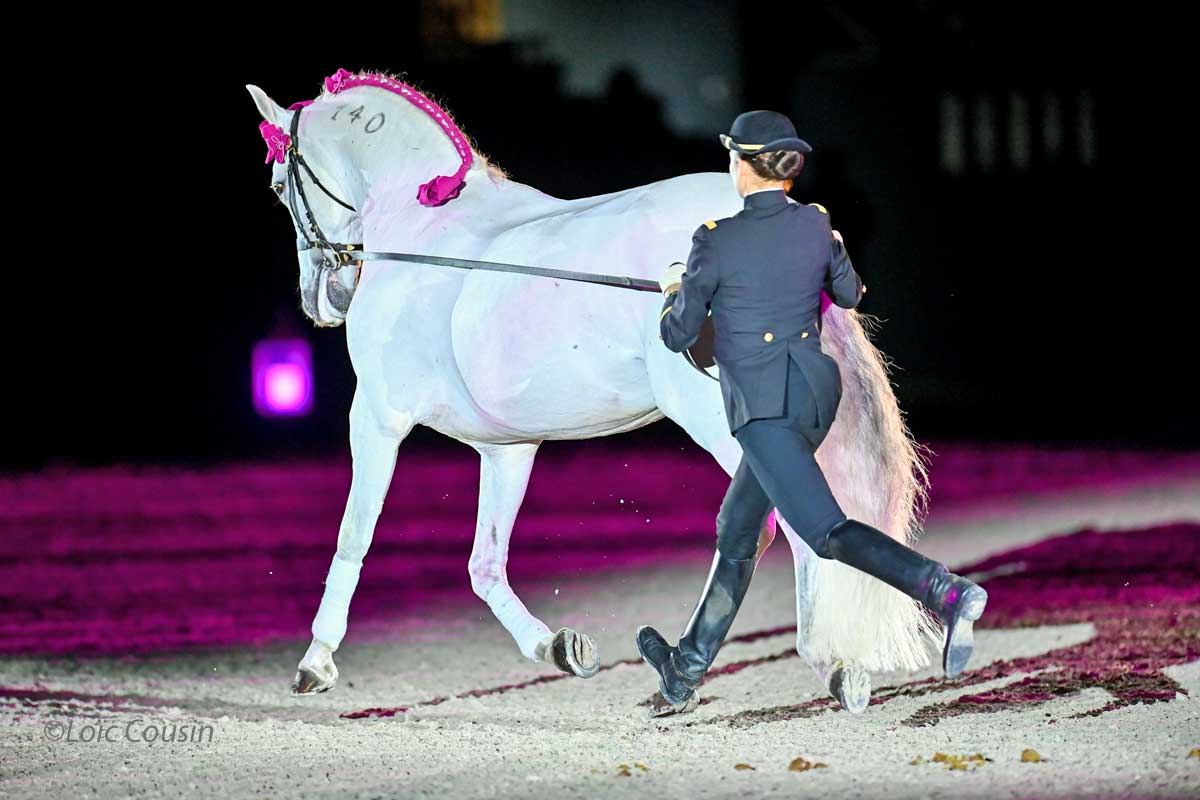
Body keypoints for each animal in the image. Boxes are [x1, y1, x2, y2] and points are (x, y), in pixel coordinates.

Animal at [247, 69, 938, 711]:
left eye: (279, 185)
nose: (324, 299)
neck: (423, 236)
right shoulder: (506, 448)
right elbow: (484, 564)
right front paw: (558, 647)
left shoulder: (377, 416)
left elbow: (354, 535)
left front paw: (315, 661)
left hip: (734, 428)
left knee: (789, 527)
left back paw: (816, 663)